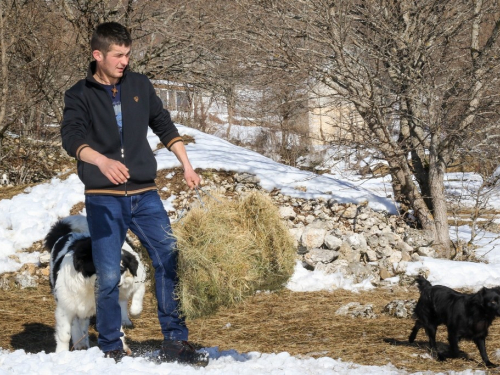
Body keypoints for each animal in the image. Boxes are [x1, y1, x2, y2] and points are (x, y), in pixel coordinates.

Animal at [46, 216, 146, 354]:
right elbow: (64, 334)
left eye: (121, 269)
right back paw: (80, 343)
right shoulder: (65, 308)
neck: (89, 285)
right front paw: (61, 353)